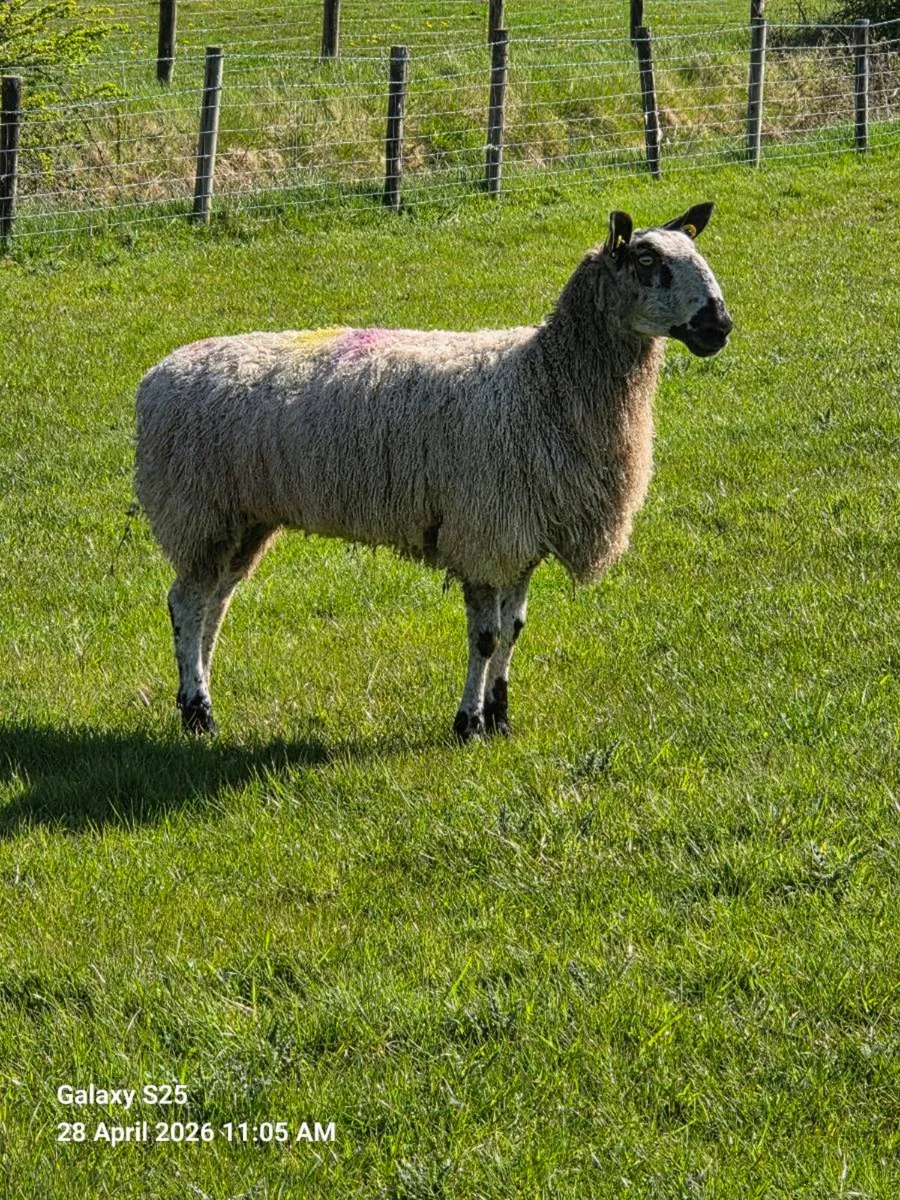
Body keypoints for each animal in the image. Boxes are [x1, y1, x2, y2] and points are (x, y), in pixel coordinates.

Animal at [135, 202, 732, 741]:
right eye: (648, 261)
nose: (720, 325)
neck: (542, 380)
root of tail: (156, 375)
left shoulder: (521, 536)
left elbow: (513, 631)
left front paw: (500, 718)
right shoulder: (483, 532)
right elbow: (486, 638)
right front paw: (468, 724)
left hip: (243, 518)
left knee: (214, 604)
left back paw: (199, 698)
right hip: (198, 510)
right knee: (185, 604)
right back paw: (199, 713)